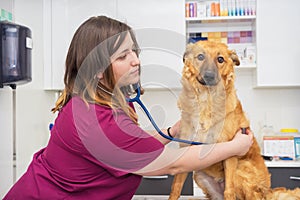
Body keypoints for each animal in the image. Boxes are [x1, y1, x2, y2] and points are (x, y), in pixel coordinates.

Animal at [170, 41, 298, 200]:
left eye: (220, 59)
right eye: (200, 57)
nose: (209, 76)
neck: (207, 101)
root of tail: (267, 191)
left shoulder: (230, 152)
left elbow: (229, 191)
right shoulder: (185, 149)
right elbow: (176, 188)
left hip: (240, 171)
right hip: (199, 175)